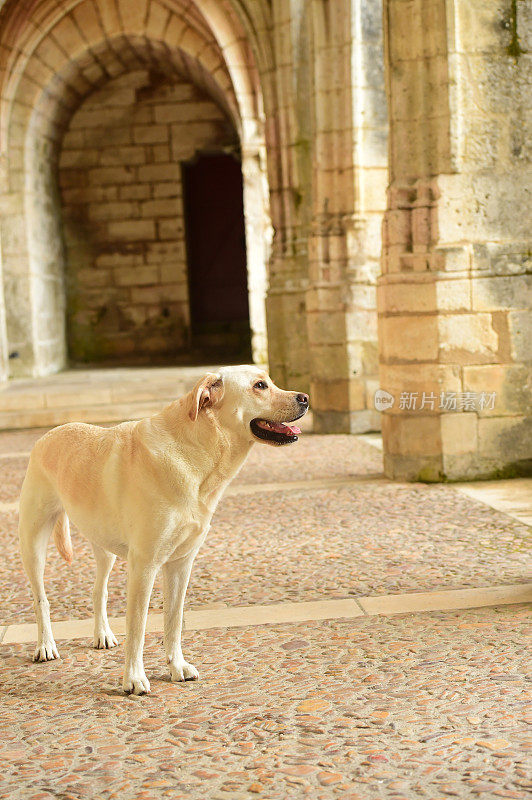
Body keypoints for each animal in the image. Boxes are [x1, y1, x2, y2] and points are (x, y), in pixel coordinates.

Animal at [18, 366, 310, 692]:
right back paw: (46, 645)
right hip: (33, 544)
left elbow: (173, 619)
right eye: (260, 386)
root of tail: (49, 434)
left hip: (104, 547)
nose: (305, 398)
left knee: (98, 591)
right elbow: (138, 626)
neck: (196, 452)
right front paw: (134, 678)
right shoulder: (144, 565)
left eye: (269, 380)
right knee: (41, 598)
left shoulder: (181, 564)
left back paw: (102, 634)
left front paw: (176, 666)